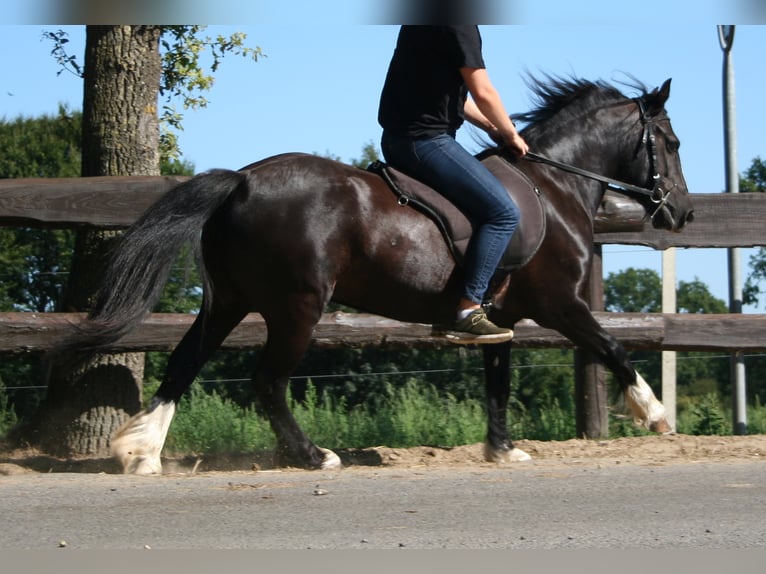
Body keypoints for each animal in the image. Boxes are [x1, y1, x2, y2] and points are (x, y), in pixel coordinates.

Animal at [63, 76, 692, 474]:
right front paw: (656, 415)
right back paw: (313, 456)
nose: (682, 214)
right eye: (671, 141)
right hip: (297, 307)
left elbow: (498, 382)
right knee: (267, 382)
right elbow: (613, 347)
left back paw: (142, 453)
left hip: (229, 301)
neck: (553, 188)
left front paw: (502, 449)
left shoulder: (501, 318)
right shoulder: (561, 303)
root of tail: (242, 180)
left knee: (185, 362)